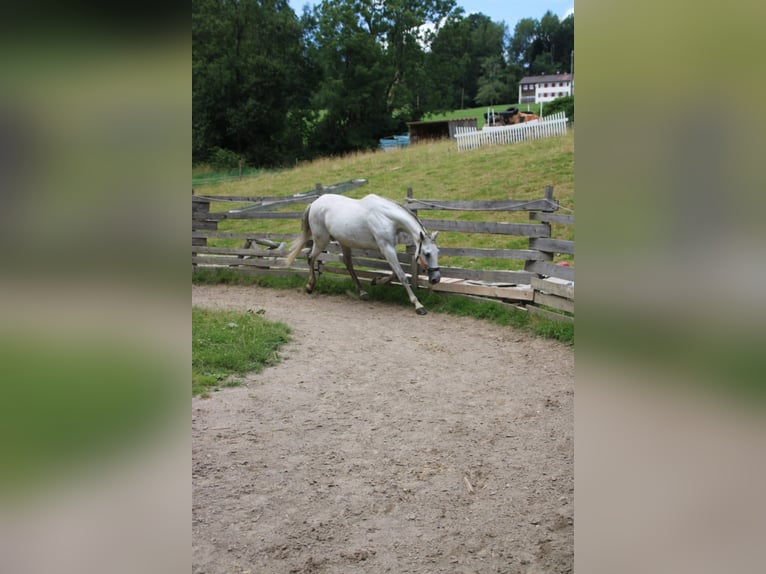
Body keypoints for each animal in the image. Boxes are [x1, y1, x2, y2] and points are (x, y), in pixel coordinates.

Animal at [285, 194, 441, 315]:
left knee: (348, 265)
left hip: (344, 242)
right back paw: (310, 286)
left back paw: (362, 292)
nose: (436, 279)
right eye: (427, 253)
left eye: (437, 252)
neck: (386, 217)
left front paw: (376, 280)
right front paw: (418, 305)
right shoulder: (386, 248)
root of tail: (314, 203)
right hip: (321, 240)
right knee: (310, 258)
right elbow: (401, 275)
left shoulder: (387, 248)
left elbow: (395, 273)